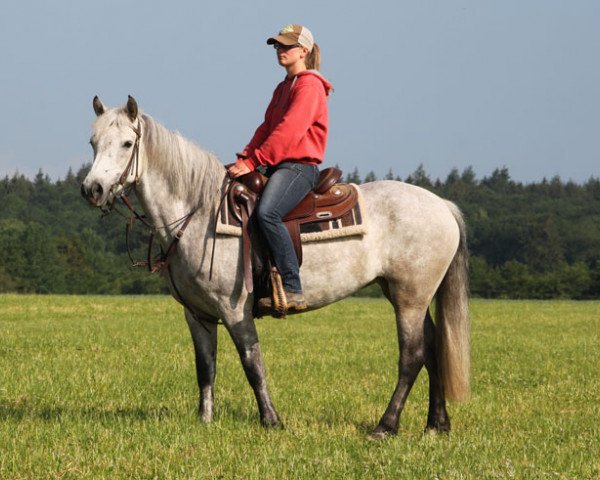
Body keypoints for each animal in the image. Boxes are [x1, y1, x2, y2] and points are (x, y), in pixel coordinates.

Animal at [82, 95, 472, 436]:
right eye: (93, 142)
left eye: (127, 143)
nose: (93, 189)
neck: (199, 214)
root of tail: (442, 205)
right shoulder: (197, 314)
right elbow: (205, 368)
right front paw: (204, 421)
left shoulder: (234, 309)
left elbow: (252, 363)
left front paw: (271, 420)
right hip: (407, 294)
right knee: (433, 348)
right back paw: (436, 424)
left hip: (410, 298)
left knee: (412, 355)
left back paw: (385, 426)